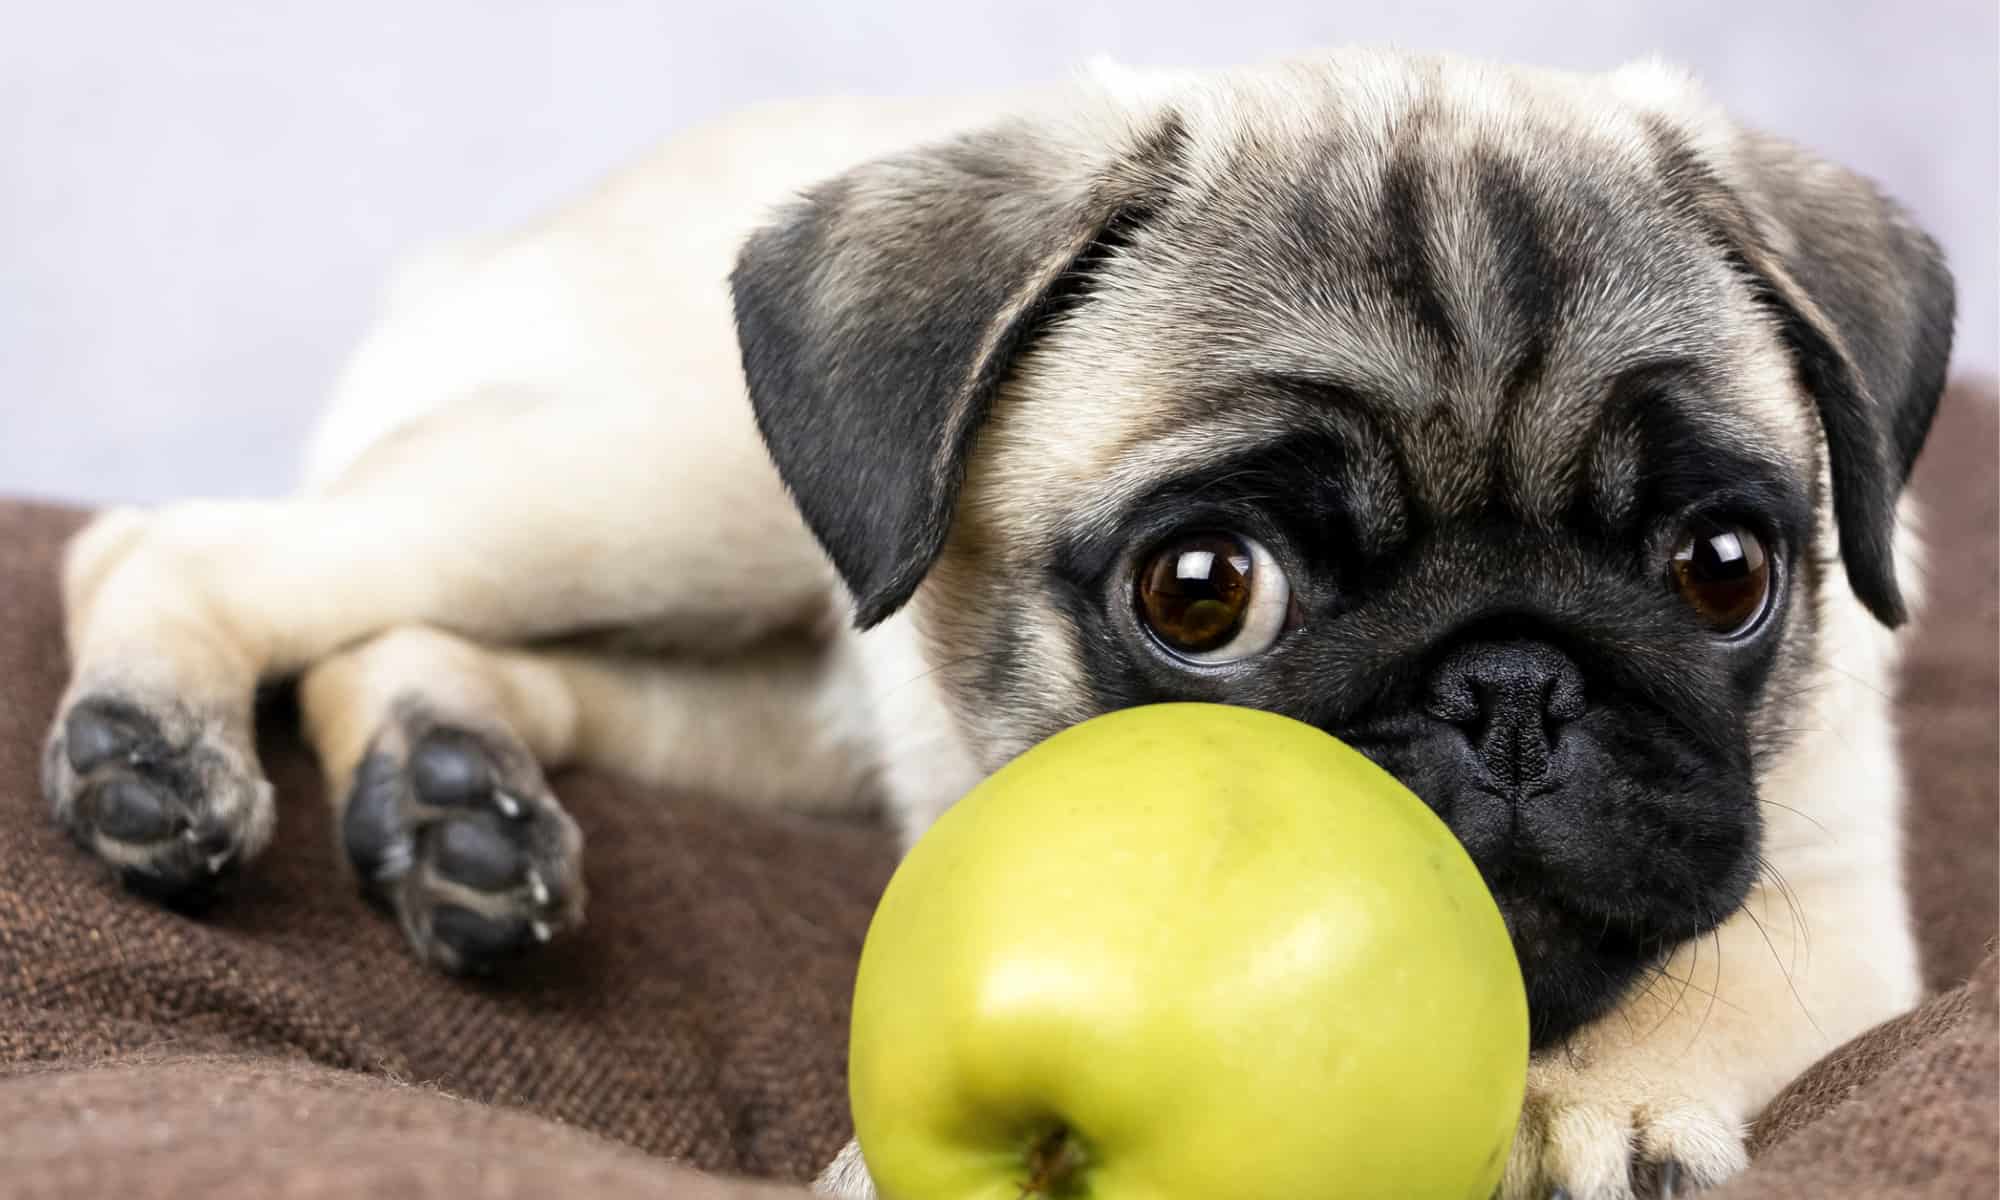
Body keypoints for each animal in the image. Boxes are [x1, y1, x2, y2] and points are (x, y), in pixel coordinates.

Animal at [43, 47, 1952, 1200]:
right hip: (650, 480)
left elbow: (1695, 982)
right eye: (1204, 593)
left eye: (1726, 569)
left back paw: (453, 808)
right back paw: (158, 750)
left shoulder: (1831, 900)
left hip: (753, 683)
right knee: (182, 543)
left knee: (458, 656)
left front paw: (1585, 1106)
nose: (1509, 684)